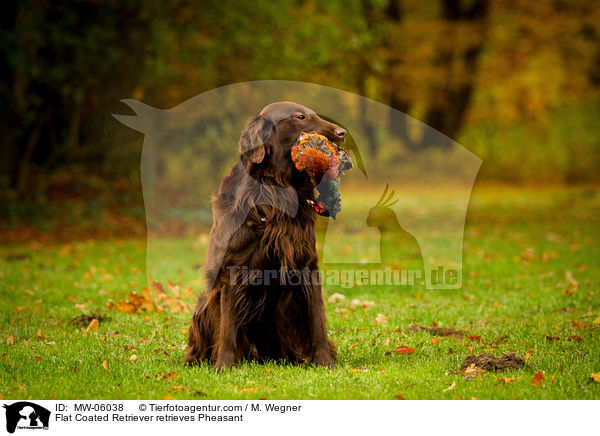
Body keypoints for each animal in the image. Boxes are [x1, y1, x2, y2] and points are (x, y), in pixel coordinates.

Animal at [185, 101, 350, 368]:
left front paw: (325, 362)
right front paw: (223, 366)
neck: (277, 190)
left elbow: (317, 322)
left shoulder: (307, 266)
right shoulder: (232, 270)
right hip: (206, 304)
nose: (342, 133)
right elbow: (227, 329)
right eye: (300, 117)